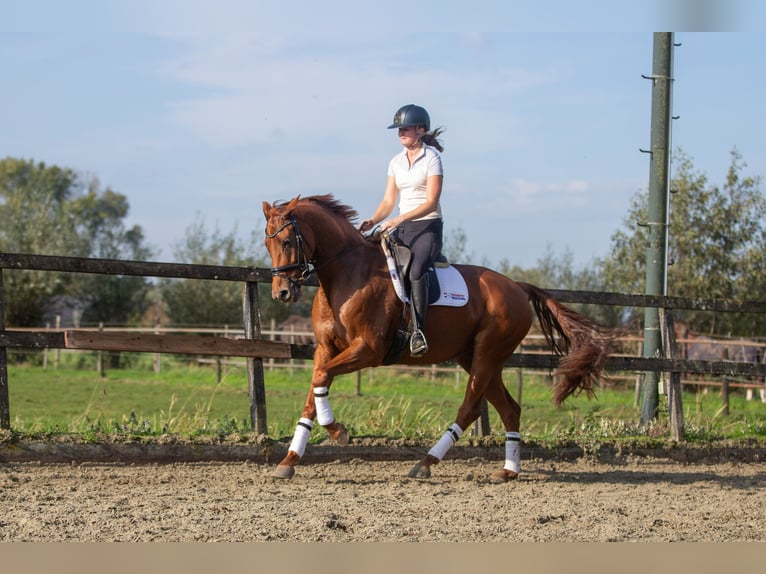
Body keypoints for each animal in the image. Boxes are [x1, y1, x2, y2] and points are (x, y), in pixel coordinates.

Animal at [264, 196, 616, 484]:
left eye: (287, 240)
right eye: (268, 245)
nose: (282, 293)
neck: (347, 274)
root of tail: (517, 286)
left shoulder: (368, 349)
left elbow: (321, 379)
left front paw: (338, 432)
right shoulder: (326, 349)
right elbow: (315, 389)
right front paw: (289, 460)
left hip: (487, 354)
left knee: (470, 408)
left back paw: (426, 462)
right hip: (474, 357)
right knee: (509, 408)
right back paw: (508, 471)